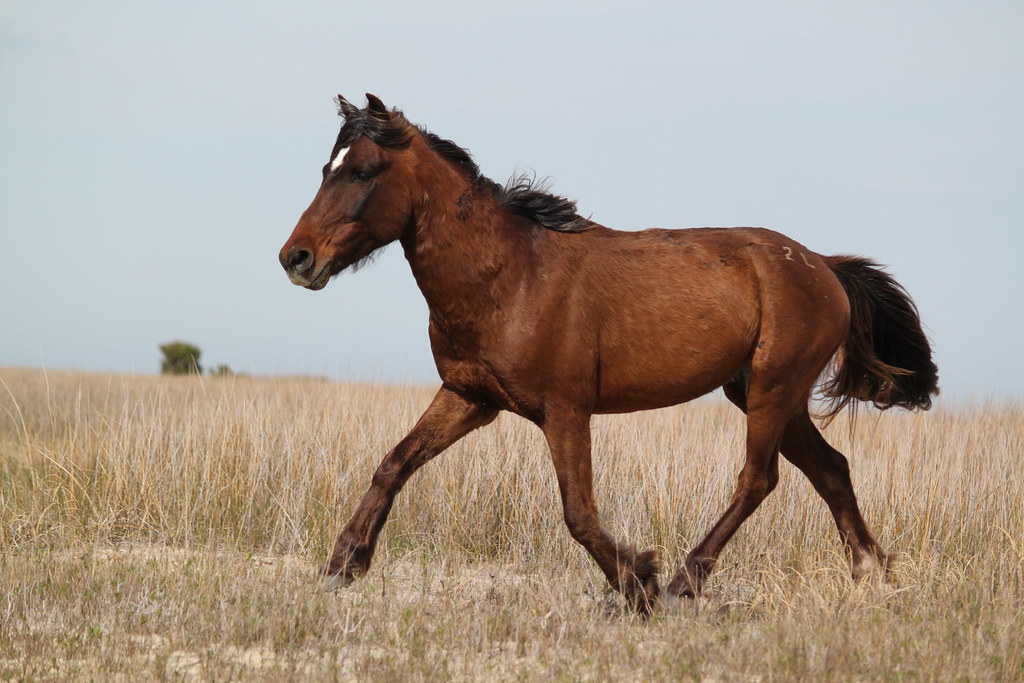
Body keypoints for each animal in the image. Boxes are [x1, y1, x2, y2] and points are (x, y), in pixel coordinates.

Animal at [279, 93, 938, 615]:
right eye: (325, 167)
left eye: (364, 171)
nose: (296, 258)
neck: (509, 276)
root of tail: (823, 266)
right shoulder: (469, 397)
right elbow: (393, 463)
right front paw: (343, 565)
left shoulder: (565, 411)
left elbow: (578, 512)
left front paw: (637, 583)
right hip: (765, 393)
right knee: (830, 469)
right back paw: (873, 576)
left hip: (773, 391)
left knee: (759, 478)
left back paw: (683, 582)